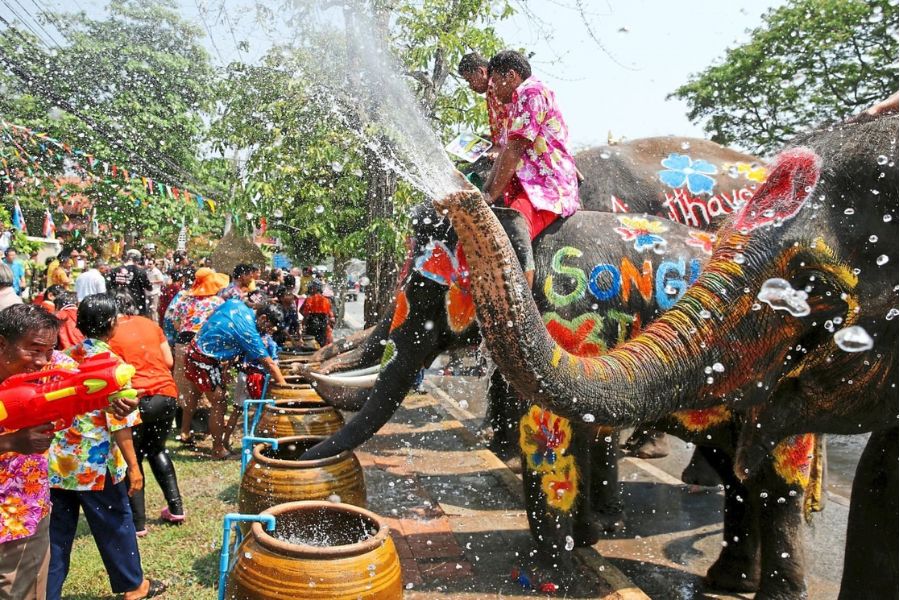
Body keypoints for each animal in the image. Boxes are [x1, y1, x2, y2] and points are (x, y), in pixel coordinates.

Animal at [304, 205, 828, 596]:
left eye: (427, 290)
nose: (298, 451)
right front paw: (584, 541)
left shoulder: (571, 313)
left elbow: (549, 431)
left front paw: (544, 570)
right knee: (737, 469)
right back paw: (729, 581)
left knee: (777, 479)